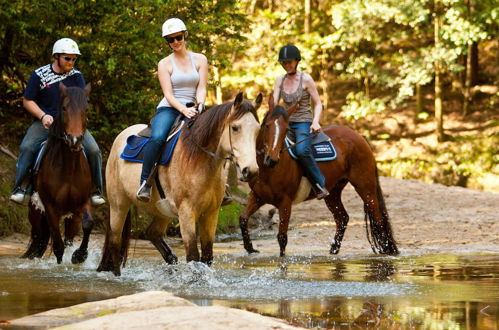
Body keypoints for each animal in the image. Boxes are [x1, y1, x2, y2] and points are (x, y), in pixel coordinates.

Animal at [22, 84, 95, 264]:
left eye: (86, 108)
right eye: (64, 108)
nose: (74, 140)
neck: (69, 168)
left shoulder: (82, 202)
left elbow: (88, 224)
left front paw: (79, 256)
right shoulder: (51, 208)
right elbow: (58, 247)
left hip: (71, 217)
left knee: (66, 238)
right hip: (36, 213)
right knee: (39, 237)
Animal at [95, 91, 264, 274]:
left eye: (257, 130)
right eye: (235, 127)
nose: (251, 170)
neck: (199, 159)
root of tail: (119, 138)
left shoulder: (210, 213)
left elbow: (207, 257)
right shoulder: (186, 212)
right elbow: (193, 256)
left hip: (162, 210)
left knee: (152, 233)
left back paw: (171, 261)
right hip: (119, 205)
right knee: (115, 241)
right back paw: (117, 274)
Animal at [240, 98, 400, 258]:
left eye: (286, 129)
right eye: (267, 125)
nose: (272, 159)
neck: (269, 170)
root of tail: (359, 136)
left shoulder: (285, 202)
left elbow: (282, 237)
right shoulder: (257, 196)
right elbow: (243, 219)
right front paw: (250, 248)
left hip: (365, 187)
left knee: (378, 218)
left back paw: (387, 250)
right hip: (333, 192)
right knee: (342, 218)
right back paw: (333, 250)